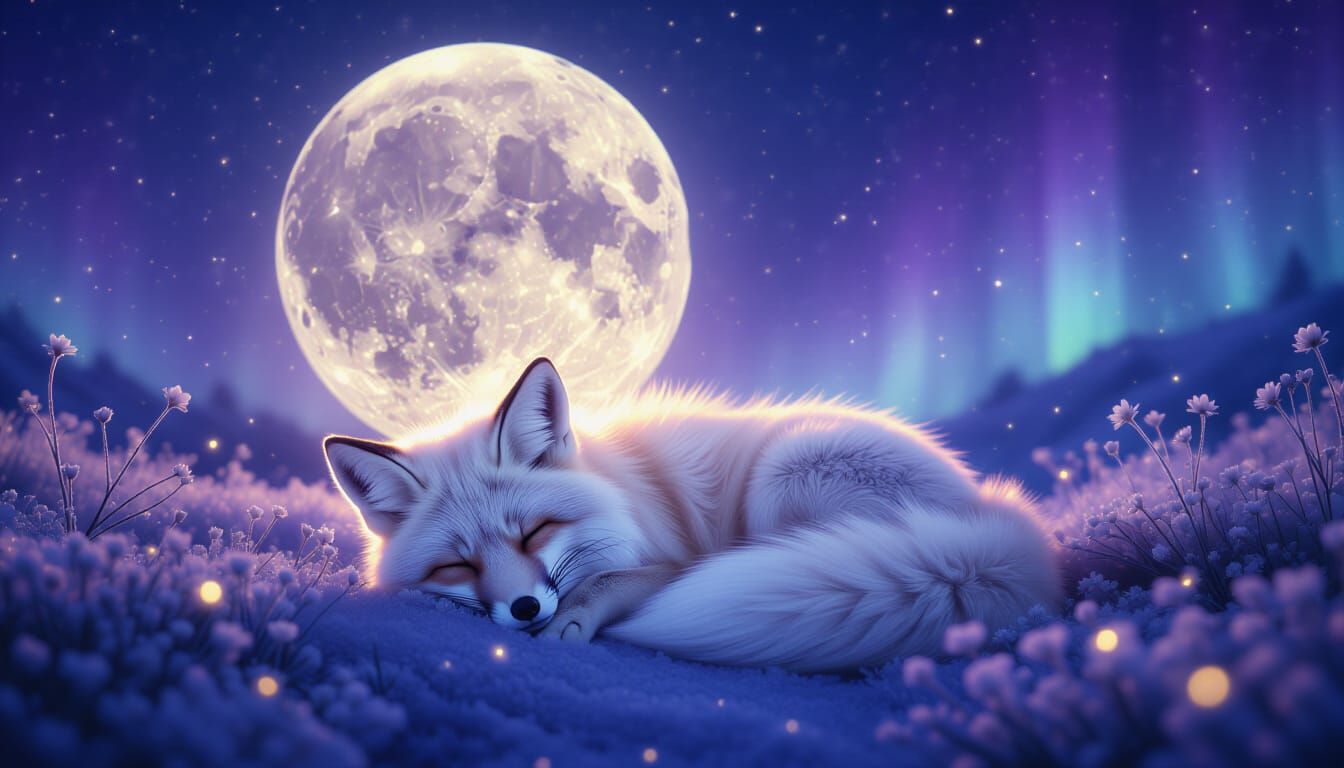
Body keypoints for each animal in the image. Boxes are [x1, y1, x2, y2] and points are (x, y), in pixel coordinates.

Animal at [324, 358, 1060, 673]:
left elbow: (615, 582)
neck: (617, 483)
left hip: (783, 471)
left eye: (536, 531)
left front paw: (577, 618)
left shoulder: (672, 557)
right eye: (456, 564)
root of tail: (999, 517)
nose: (526, 609)